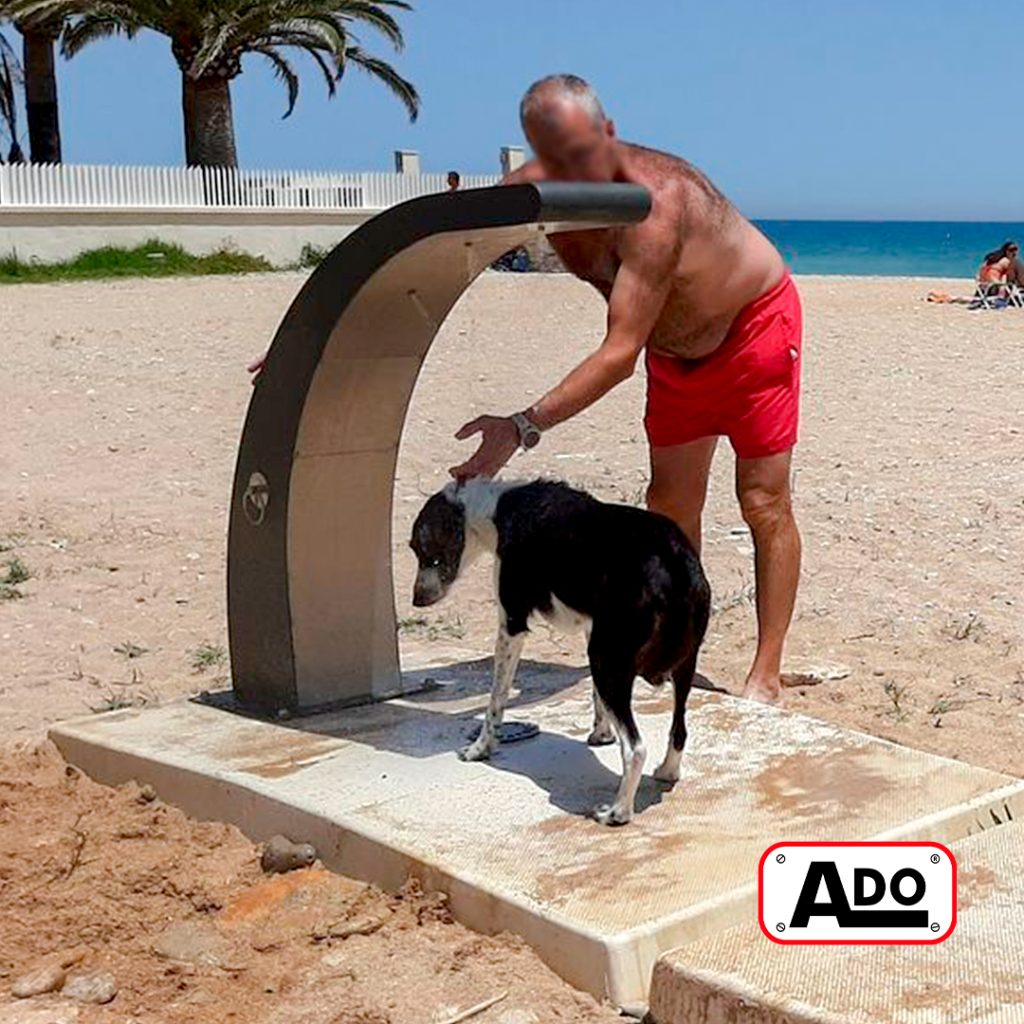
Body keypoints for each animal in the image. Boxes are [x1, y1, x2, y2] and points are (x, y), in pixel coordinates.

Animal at [407, 477, 712, 823]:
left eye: (424, 551)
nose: (416, 601)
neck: (498, 507)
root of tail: (676, 566)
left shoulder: (511, 625)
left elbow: (495, 701)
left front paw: (480, 749)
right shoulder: (591, 627)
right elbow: (596, 699)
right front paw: (601, 733)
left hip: (608, 661)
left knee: (635, 748)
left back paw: (617, 813)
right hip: (675, 665)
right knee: (679, 730)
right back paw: (667, 772)